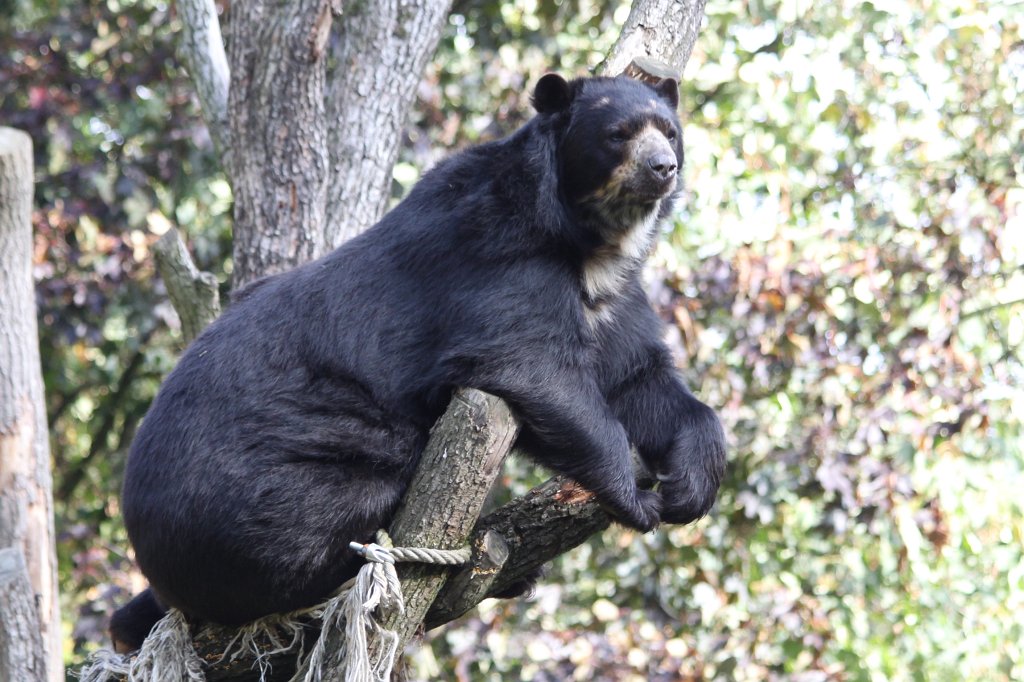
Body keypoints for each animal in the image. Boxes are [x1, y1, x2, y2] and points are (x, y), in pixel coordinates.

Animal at [109, 73, 727, 651]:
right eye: (617, 135)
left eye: (669, 131)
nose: (664, 168)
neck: (590, 244)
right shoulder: (500, 267)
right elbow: (535, 370)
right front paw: (638, 501)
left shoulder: (613, 299)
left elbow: (639, 379)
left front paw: (690, 484)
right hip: (260, 499)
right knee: (330, 513)